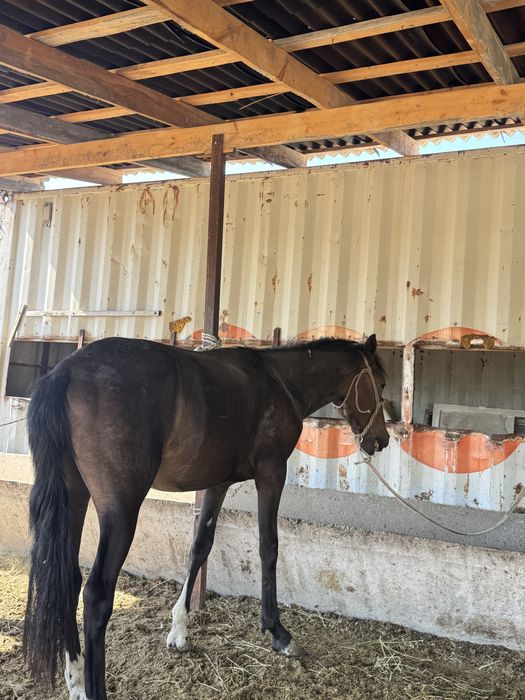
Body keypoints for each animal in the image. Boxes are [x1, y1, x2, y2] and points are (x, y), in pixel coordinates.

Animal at [23, 333, 389, 700]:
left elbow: (200, 547)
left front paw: (179, 630)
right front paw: (277, 632)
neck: (279, 380)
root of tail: (64, 373)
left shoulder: (218, 484)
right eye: (382, 383)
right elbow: (268, 547)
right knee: (97, 594)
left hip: (75, 497)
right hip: (121, 510)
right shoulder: (271, 473)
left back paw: (76, 680)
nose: (381, 439)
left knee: (69, 580)